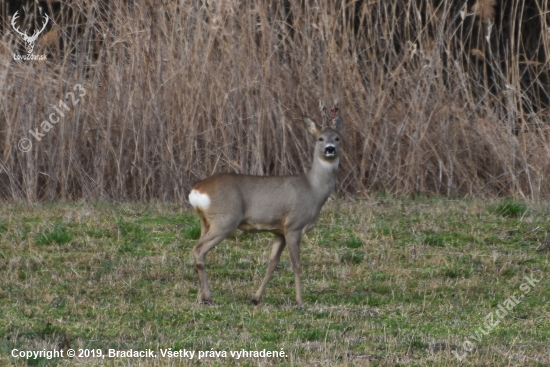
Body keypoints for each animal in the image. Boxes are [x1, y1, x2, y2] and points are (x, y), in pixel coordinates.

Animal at [191, 100, 344, 308]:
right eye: (320, 138)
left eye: (337, 138)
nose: (330, 149)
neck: (313, 189)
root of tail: (197, 190)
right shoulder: (294, 225)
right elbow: (296, 264)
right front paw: (300, 301)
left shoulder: (279, 231)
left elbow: (272, 264)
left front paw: (256, 298)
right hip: (225, 220)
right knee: (199, 250)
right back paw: (208, 297)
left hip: (205, 222)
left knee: (199, 250)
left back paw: (203, 297)